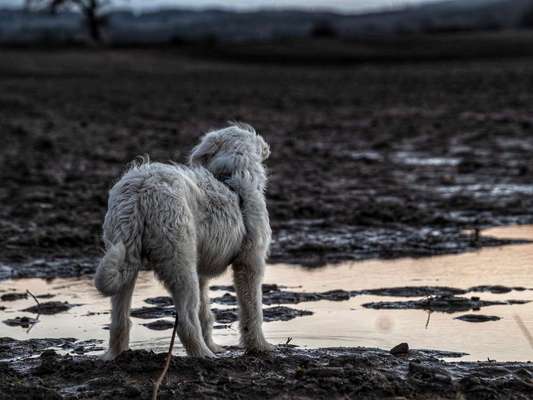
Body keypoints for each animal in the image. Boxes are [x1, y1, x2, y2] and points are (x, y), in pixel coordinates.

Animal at [93, 122, 272, 360]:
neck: (230, 176)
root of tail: (140, 190)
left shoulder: (202, 272)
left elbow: (205, 312)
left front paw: (215, 344)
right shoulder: (250, 263)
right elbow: (252, 310)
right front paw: (260, 346)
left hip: (125, 253)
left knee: (119, 320)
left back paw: (116, 355)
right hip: (180, 263)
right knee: (186, 321)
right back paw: (204, 354)